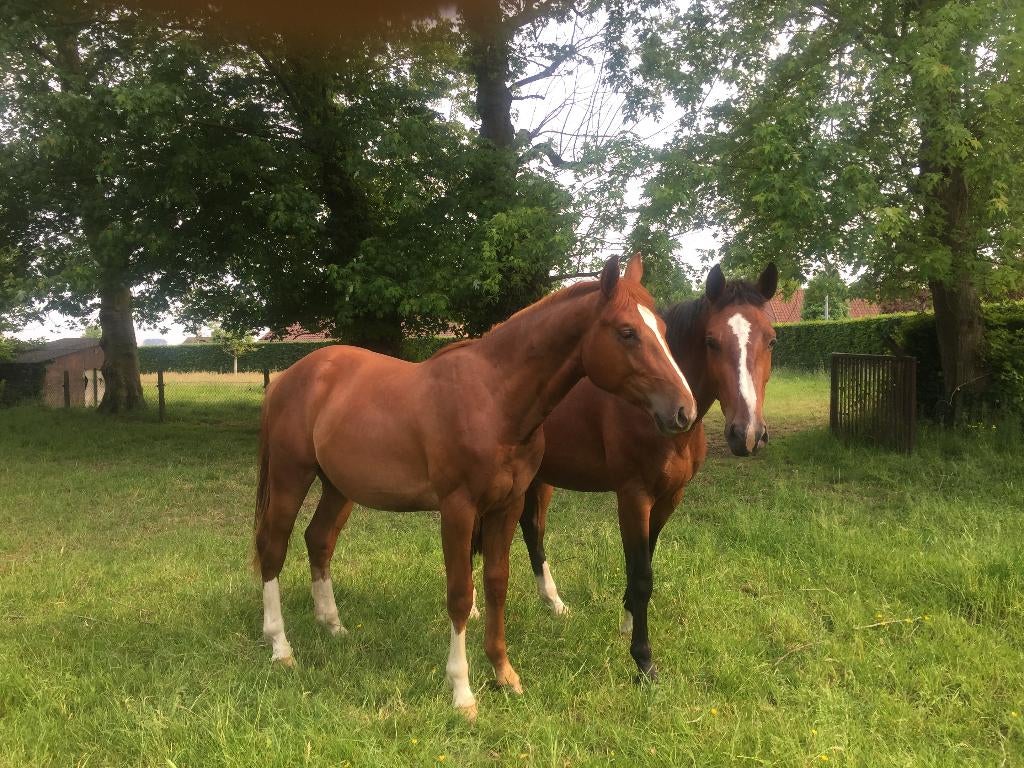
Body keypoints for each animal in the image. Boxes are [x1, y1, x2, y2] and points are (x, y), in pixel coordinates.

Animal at [253, 254, 699, 718]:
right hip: (290, 477)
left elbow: (496, 584)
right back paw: (280, 647)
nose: (684, 411)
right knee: (273, 548)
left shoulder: (507, 505)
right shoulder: (458, 509)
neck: (494, 400)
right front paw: (462, 692)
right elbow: (460, 595)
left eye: (663, 329)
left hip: (339, 488)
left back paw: (333, 625)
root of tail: (289, 377)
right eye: (627, 332)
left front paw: (504, 674)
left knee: (319, 540)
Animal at [508, 262, 778, 681]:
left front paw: (628, 621)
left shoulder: (668, 498)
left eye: (772, 341)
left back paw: (554, 604)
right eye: (712, 341)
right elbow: (641, 575)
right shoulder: (633, 496)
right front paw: (643, 659)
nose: (747, 434)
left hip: (540, 479)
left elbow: (645, 559)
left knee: (533, 532)